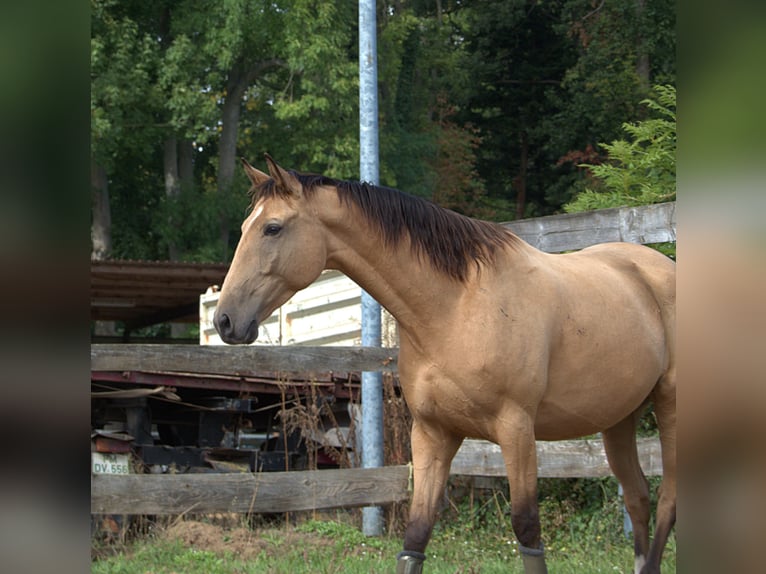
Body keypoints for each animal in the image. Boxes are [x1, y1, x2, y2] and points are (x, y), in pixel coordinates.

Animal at [214, 158, 680, 574]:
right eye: (245, 227)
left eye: (273, 228)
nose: (225, 320)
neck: (456, 307)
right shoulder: (433, 433)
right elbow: (416, 536)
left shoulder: (516, 430)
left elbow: (527, 530)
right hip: (618, 420)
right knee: (638, 499)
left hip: (670, 408)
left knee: (667, 504)